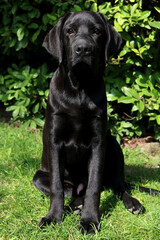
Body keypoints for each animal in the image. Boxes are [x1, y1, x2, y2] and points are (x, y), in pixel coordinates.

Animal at [33, 10, 143, 232]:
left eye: (97, 31)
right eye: (70, 31)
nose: (83, 49)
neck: (79, 89)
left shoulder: (98, 141)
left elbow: (94, 187)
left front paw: (90, 220)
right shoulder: (54, 140)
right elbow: (57, 186)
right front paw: (53, 217)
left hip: (113, 145)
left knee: (117, 186)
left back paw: (131, 203)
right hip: (39, 176)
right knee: (70, 190)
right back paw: (75, 204)